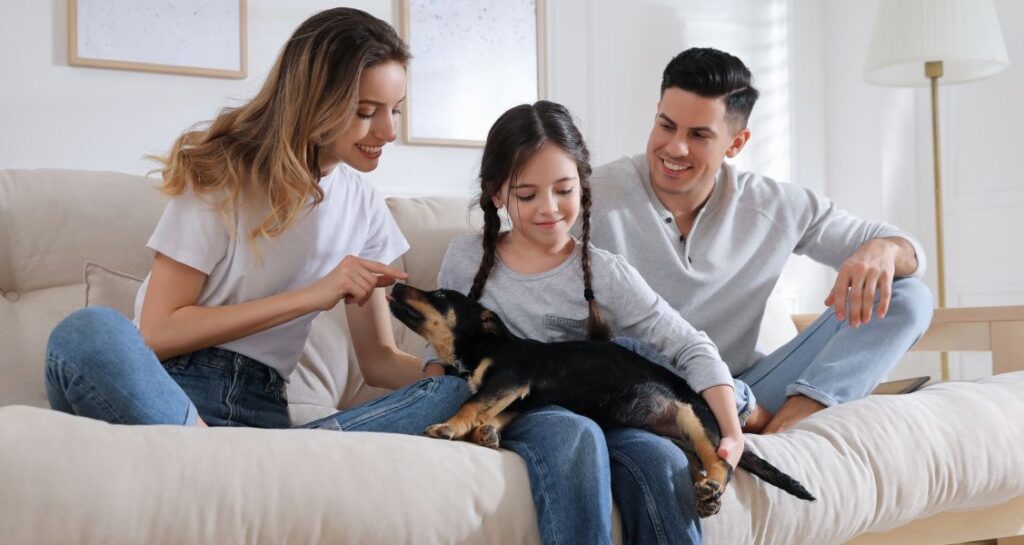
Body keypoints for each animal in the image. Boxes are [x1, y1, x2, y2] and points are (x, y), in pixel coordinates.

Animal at [387, 282, 811, 516]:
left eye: (440, 295)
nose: (395, 286)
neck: (482, 345)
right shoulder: (518, 396)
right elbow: (492, 414)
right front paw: (485, 433)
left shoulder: (509, 378)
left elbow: (472, 404)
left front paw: (449, 427)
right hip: (679, 438)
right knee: (699, 466)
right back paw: (707, 497)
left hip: (694, 419)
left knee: (723, 463)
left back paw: (711, 490)